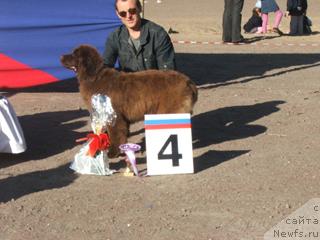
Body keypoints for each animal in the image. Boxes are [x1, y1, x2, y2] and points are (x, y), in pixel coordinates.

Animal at [58, 44, 196, 158]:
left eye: (74, 54)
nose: (61, 56)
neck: (94, 77)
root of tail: (189, 81)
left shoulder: (114, 116)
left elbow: (115, 135)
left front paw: (112, 153)